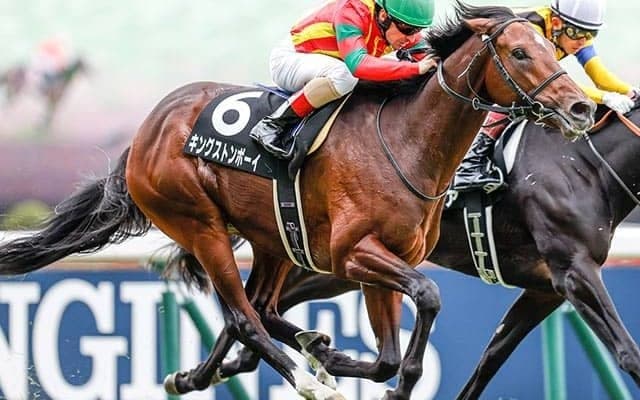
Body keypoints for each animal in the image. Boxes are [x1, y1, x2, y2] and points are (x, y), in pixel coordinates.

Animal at [0, 2, 594, 400]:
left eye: (551, 49)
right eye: (520, 52)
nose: (582, 108)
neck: (406, 141)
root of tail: (146, 130)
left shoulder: (384, 260)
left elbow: (386, 358)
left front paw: (344, 357)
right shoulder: (356, 253)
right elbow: (427, 296)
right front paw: (344, 369)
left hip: (277, 239)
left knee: (261, 308)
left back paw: (264, 358)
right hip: (199, 224)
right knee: (244, 317)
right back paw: (308, 380)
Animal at [195, 102, 640, 399]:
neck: (586, 166)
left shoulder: (545, 289)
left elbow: (491, 357)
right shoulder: (574, 272)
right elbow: (628, 354)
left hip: (337, 270)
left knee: (264, 304)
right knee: (251, 305)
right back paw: (205, 373)